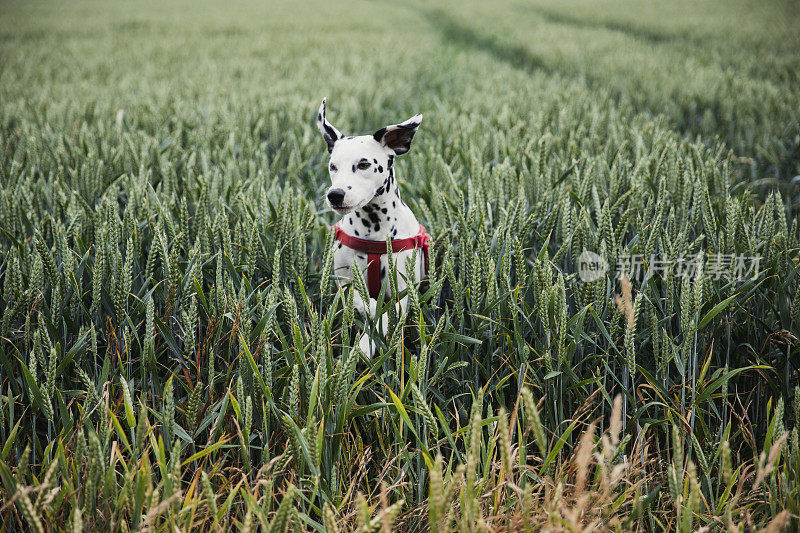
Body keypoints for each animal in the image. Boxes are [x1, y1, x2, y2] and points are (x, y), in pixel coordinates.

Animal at [314, 98, 432, 358]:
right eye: (333, 166)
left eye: (364, 164)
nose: (334, 195)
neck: (374, 227)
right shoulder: (344, 282)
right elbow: (365, 302)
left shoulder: (404, 291)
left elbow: (387, 316)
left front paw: (366, 345)